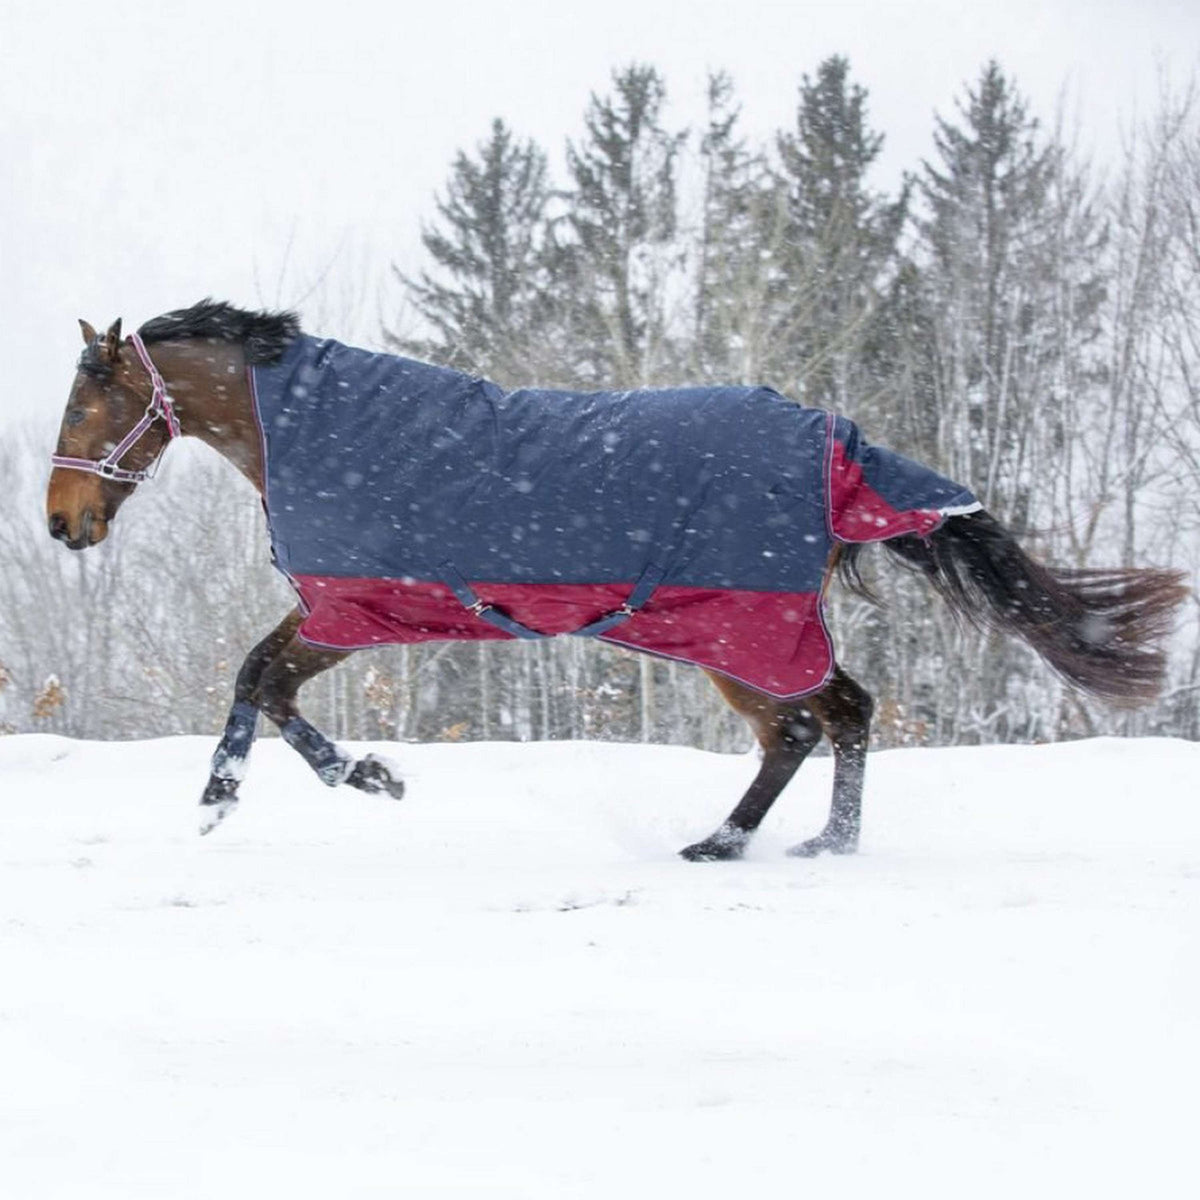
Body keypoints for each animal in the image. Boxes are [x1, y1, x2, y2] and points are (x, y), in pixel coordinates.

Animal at [49, 304, 1190, 859]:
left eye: (87, 407)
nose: (63, 523)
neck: (315, 432)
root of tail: (838, 442)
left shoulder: (351, 608)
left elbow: (259, 679)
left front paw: (260, 794)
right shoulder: (350, 611)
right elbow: (265, 685)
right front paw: (336, 780)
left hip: (742, 630)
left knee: (829, 717)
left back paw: (753, 845)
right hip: (732, 635)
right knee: (822, 724)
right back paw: (789, 842)